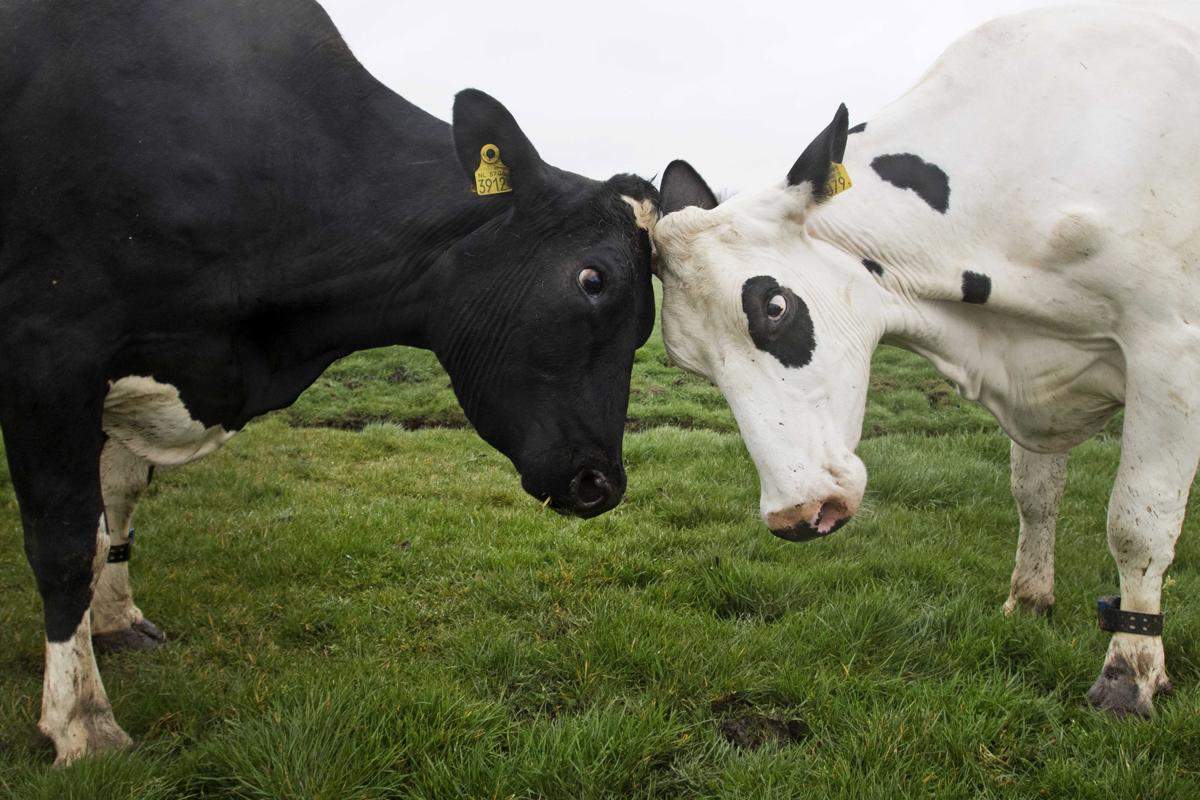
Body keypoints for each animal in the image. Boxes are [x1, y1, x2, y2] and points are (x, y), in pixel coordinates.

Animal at [0, 0, 657, 762]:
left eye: (649, 322)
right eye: (592, 280)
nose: (602, 484)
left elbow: (117, 503)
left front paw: (115, 620)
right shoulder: (48, 351)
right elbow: (65, 542)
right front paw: (80, 721)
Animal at [657, 0, 1200, 714]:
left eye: (775, 306)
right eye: (691, 362)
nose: (798, 514)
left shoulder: (1170, 349)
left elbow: (1139, 519)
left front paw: (1129, 675)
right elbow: (1035, 495)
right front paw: (1028, 603)